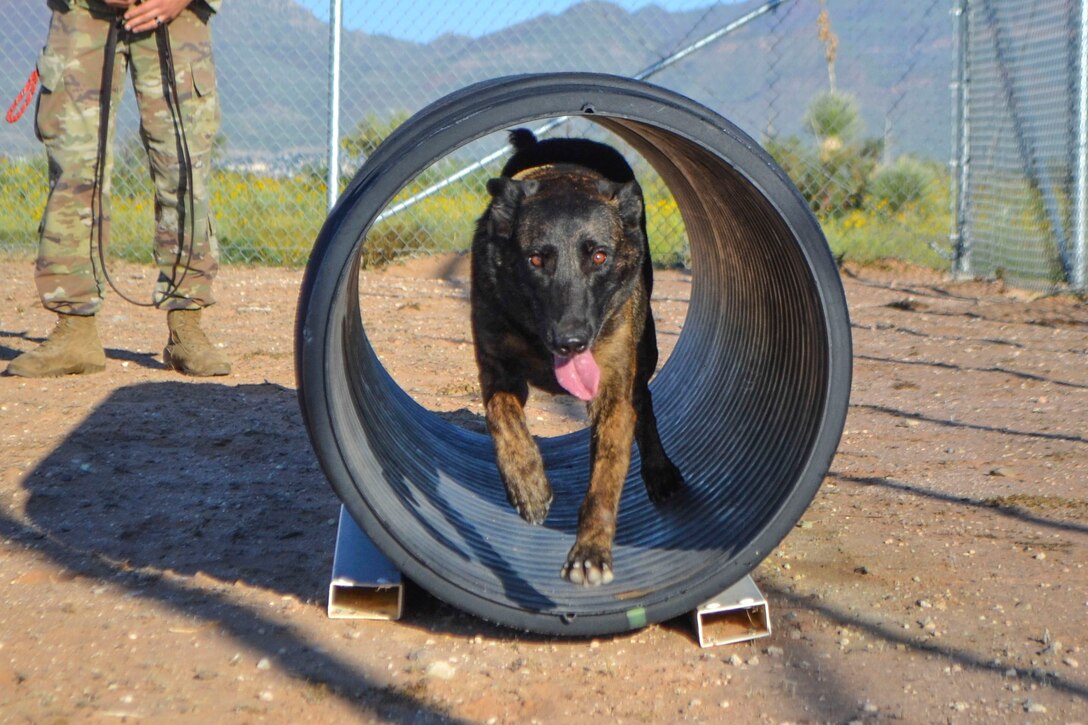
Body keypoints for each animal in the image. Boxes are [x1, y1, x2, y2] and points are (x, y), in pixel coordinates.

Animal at [472, 128, 683, 583]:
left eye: (599, 256)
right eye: (536, 259)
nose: (571, 342)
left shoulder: (611, 392)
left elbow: (604, 479)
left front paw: (590, 551)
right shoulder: (496, 369)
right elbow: (502, 419)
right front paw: (529, 485)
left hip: (645, 348)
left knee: (646, 402)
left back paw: (659, 470)